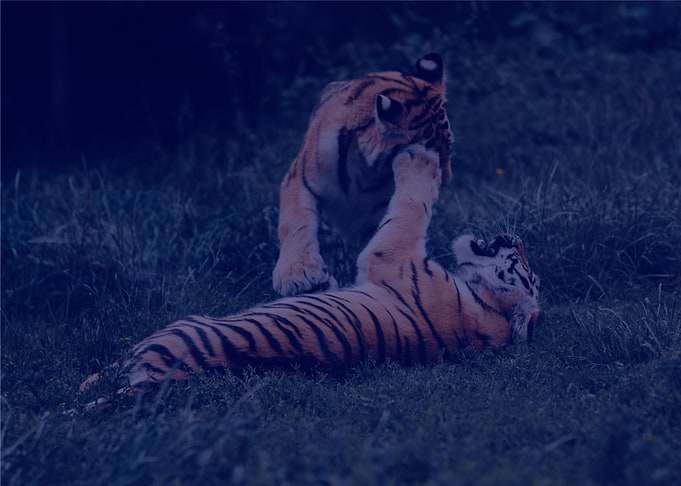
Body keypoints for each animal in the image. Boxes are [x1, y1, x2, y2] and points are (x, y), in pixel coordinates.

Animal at [80, 145, 540, 407]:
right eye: (525, 261)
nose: (515, 236)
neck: (488, 310)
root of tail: (164, 382)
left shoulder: (393, 252)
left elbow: (413, 204)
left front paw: (420, 158)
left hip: (177, 326)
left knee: (108, 370)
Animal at [273, 53, 454, 296]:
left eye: (449, 147)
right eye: (433, 149)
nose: (446, 182)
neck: (367, 169)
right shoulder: (299, 179)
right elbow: (295, 222)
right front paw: (297, 274)